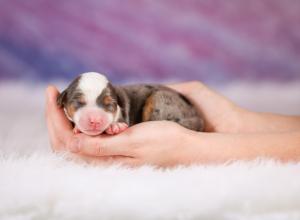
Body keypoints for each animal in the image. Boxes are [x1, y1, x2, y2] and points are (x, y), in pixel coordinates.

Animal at [56, 72, 204, 136]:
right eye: (79, 102)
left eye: (109, 104)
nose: (95, 120)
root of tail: (197, 116)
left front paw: (115, 126)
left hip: (160, 99)